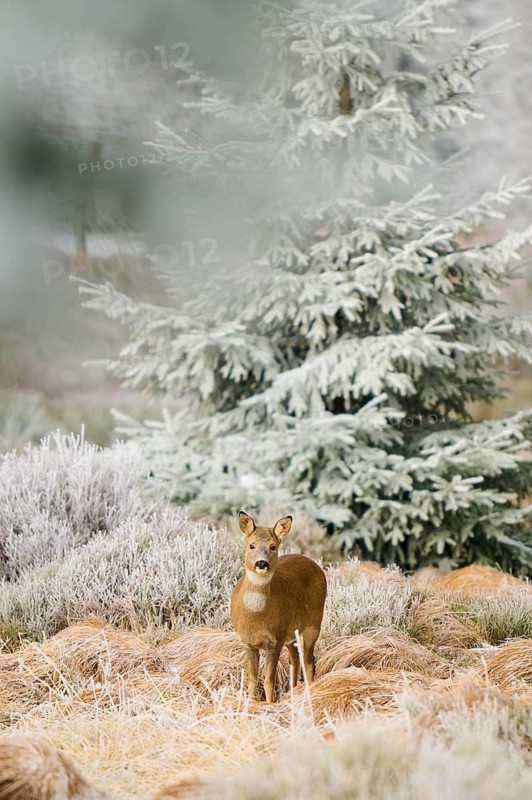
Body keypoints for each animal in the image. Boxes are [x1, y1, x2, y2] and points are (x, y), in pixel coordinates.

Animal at [231, 511, 327, 703]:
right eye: (251, 545)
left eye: (273, 546)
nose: (261, 563)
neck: (256, 617)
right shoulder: (247, 642)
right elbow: (252, 679)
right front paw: (251, 703)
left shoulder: (275, 640)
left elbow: (269, 679)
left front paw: (270, 704)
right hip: (292, 632)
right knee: (295, 659)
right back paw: (293, 690)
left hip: (314, 623)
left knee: (309, 661)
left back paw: (310, 690)